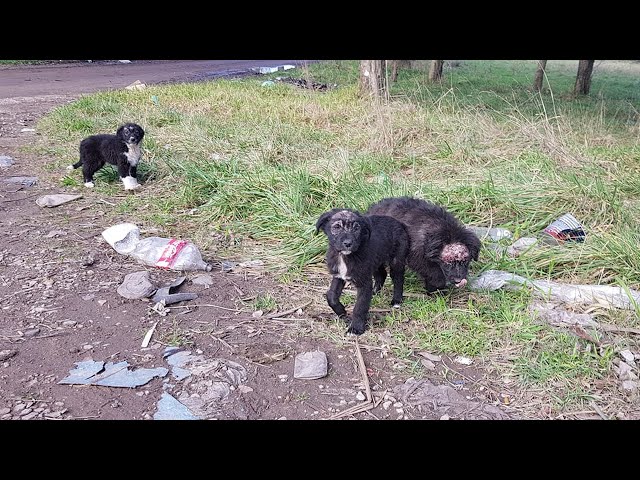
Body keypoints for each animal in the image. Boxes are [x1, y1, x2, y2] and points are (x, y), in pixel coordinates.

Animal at [316, 208, 410, 336]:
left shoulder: (364, 282)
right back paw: (375, 291)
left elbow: (360, 307)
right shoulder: (339, 276)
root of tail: (399, 223)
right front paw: (341, 312)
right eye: (337, 227)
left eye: (356, 228)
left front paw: (356, 328)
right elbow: (331, 296)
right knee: (382, 274)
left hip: (397, 259)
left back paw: (396, 301)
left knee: (398, 279)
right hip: (376, 261)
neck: (345, 256)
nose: (348, 243)